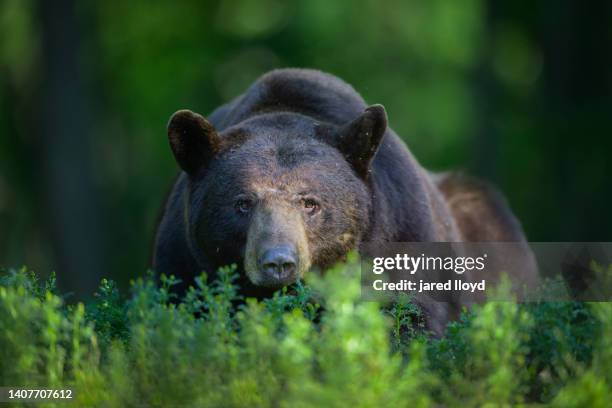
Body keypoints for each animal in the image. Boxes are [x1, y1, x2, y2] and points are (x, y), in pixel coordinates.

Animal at [155, 68, 536, 334]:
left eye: (310, 203)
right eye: (243, 203)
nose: (278, 262)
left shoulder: (405, 236)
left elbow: (412, 319)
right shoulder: (183, 259)